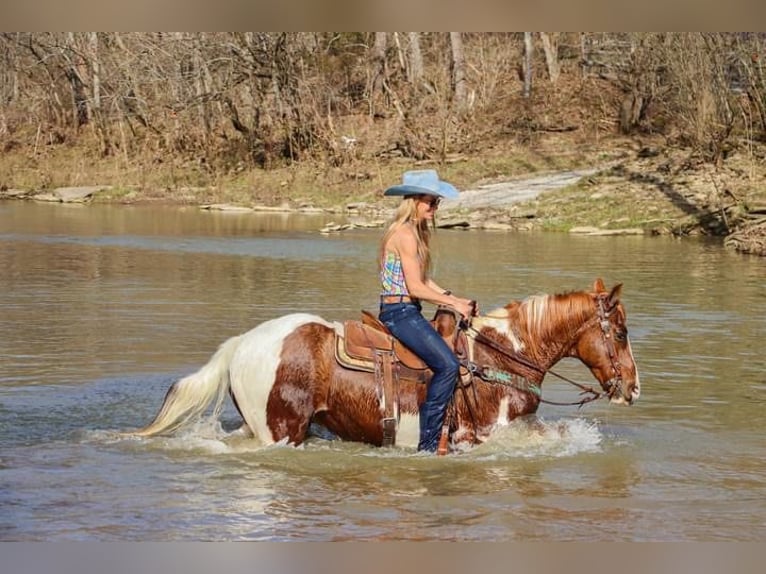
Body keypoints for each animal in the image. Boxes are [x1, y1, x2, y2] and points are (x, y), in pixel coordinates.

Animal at [132, 280, 640, 454]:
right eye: (620, 333)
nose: (633, 389)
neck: (499, 357)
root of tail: (242, 344)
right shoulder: (493, 434)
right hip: (281, 431)